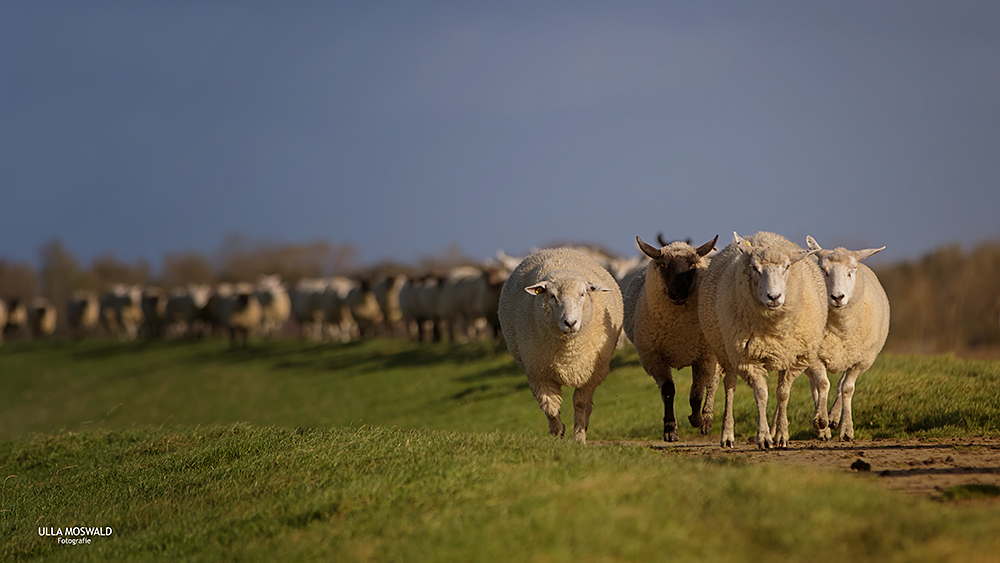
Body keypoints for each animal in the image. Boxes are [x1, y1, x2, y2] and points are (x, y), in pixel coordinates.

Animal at [496, 248, 620, 446]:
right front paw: (558, 432)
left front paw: (579, 437)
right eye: (552, 296)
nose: (570, 323)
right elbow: (550, 406)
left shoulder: (590, 374)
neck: (568, 353)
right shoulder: (539, 373)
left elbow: (580, 404)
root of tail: (557, 249)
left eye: (582, 294)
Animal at [624, 234, 720, 440]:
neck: (679, 333)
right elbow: (668, 391)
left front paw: (696, 419)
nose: (678, 293)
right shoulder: (653, 357)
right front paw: (670, 430)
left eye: (693, 264)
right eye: (663, 264)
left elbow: (697, 392)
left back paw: (706, 420)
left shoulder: (705, 356)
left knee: (712, 384)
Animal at [696, 231, 828, 452]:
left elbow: (783, 394)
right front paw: (764, 437)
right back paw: (727, 435)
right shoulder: (747, 359)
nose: (773, 297)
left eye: (787, 266)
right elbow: (761, 394)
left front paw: (782, 436)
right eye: (755, 268)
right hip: (726, 350)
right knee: (729, 387)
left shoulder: (794, 358)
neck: (773, 328)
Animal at [804, 236, 892, 442]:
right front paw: (821, 420)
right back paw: (824, 428)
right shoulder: (815, 357)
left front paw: (846, 429)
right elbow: (822, 384)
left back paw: (834, 417)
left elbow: (846, 389)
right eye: (824, 271)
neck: (839, 329)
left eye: (851, 271)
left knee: (841, 385)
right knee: (815, 387)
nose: (837, 297)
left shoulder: (860, 360)